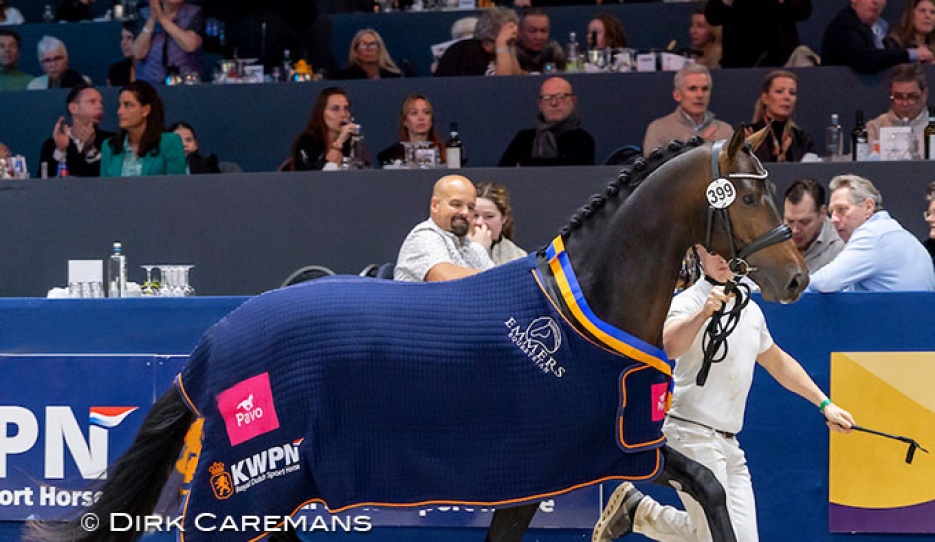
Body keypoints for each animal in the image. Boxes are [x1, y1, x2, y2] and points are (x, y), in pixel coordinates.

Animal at [27, 127, 806, 542]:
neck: (588, 306)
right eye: (750, 192)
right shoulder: (574, 457)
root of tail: (211, 344)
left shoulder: (588, 459)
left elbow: (707, 485)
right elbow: (707, 486)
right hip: (248, 484)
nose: (796, 276)